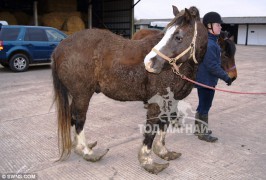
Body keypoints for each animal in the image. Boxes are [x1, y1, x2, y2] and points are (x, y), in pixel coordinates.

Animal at [52, 6, 208, 174]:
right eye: (165, 33)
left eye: (178, 37)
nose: (149, 62)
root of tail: (59, 48)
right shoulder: (156, 103)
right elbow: (151, 129)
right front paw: (147, 161)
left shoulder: (171, 101)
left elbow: (163, 124)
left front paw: (163, 152)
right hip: (82, 94)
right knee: (79, 119)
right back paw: (86, 151)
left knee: (73, 117)